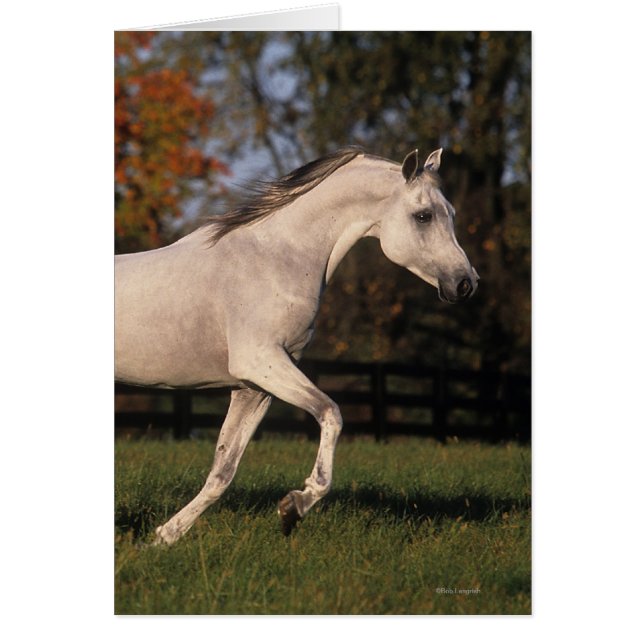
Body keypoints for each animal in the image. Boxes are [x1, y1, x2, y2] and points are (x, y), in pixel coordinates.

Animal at [115, 146, 479, 544]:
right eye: (424, 216)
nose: (466, 283)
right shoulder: (261, 363)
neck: (275, 259)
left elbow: (222, 471)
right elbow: (331, 413)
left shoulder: (253, 387)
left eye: (453, 213)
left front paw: (164, 537)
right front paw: (296, 506)